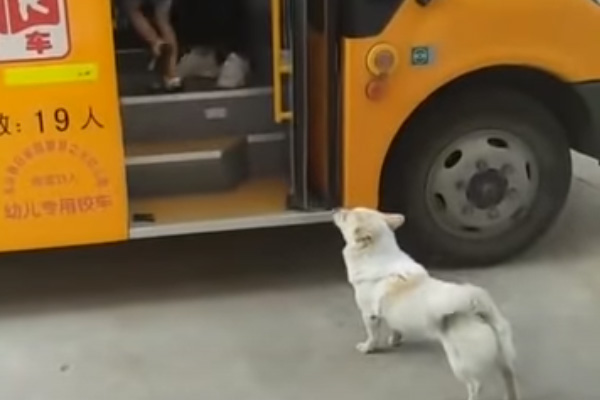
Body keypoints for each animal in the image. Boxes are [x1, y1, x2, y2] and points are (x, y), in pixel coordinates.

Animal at [336, 208, 516, 400]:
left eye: (346, 216)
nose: (338, 209)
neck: (378, 253)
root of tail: (478, 308)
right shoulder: (391, 313)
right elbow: (395, 326)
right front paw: (395, 339)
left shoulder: (369, 315)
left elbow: (372, 336)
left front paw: (367, 347)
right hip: (503, 357)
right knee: (508, 375)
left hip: (460, 362)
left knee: (476, 385)